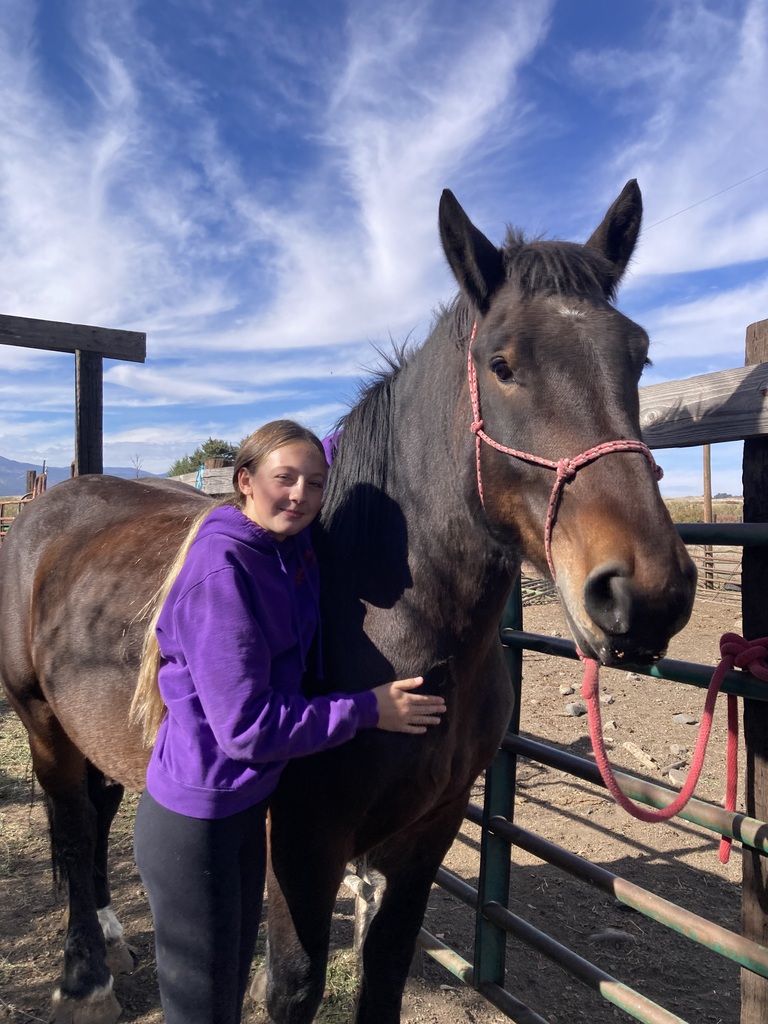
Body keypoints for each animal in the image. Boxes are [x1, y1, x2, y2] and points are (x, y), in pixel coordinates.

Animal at [0, 180, 697, 1024]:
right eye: (501, 363)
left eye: (639, 354)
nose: (646, 592)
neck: (388, 624)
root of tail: (52, 503)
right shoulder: (306, 841)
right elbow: (295, 983)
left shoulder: (429, 831)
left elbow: (388, 962)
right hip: (40, 719)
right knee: (72, 826)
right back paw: (85, 975)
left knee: (100, 808)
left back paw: (108, 931)